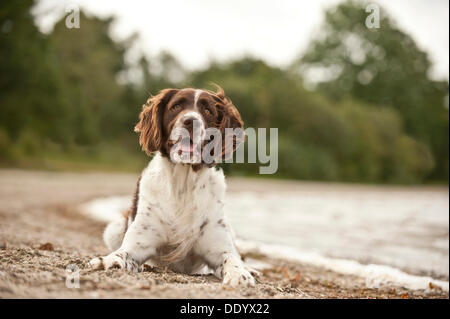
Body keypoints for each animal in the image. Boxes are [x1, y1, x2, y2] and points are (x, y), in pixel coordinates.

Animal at [89, 87, 255, 288]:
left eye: (208, 111)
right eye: (176, 106)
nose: (190, 121)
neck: (184, 184)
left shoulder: (219, 247)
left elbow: (231, 259)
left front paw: (241, 274)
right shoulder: (139, 243)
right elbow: (122, 253)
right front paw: (108, 260)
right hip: (114, 227)